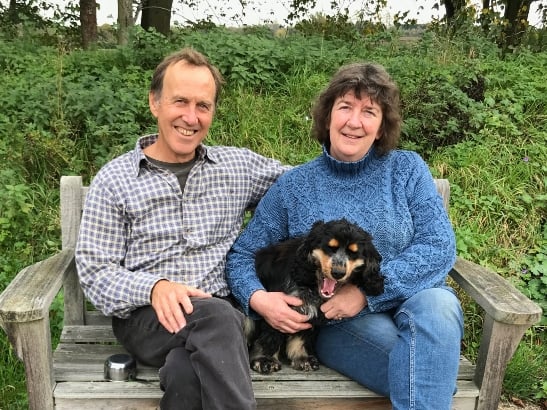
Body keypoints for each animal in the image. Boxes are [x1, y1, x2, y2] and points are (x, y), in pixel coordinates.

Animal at [246, 219, 384, 374]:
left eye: (353, 253)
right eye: (330, 247)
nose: (338, 273)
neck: (311, 283)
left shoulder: (310, 311)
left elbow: (302, 336)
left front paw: (303, 358)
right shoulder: (275, 307)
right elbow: (271, 334)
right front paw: (264, 360)